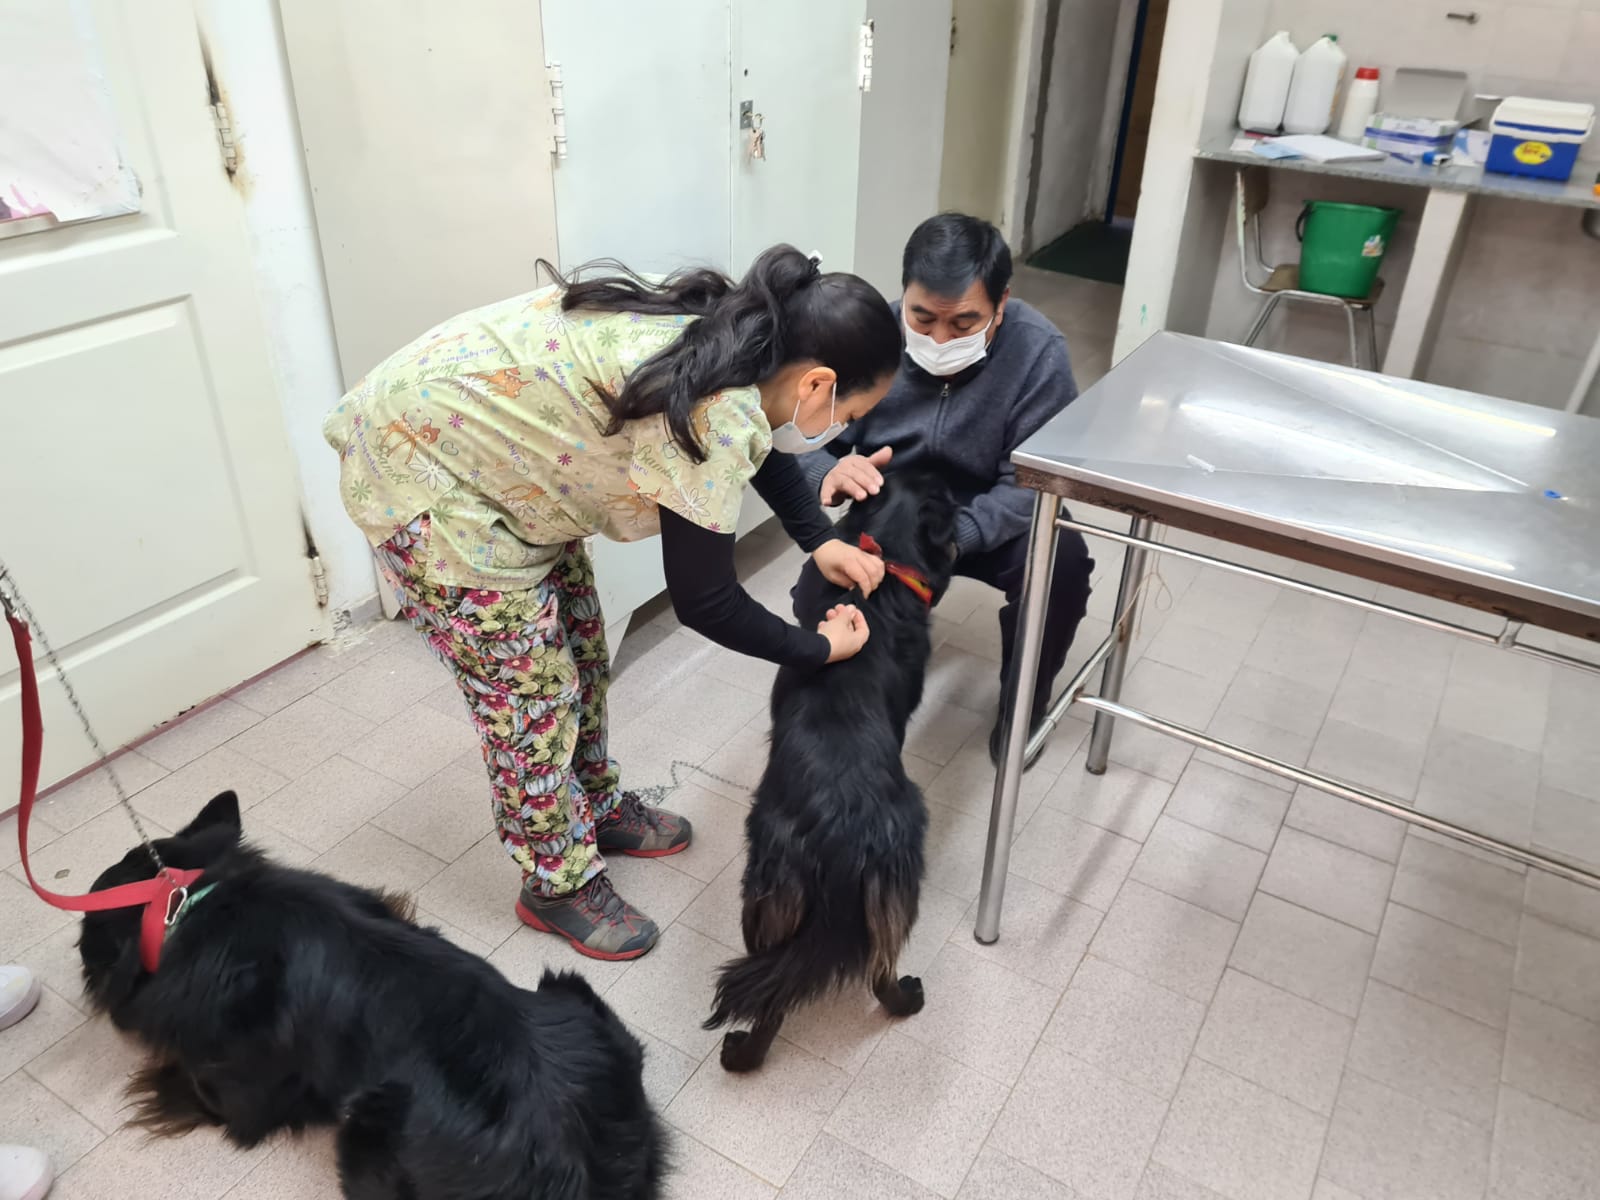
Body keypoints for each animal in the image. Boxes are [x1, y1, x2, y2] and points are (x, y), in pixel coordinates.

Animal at [703, 470, 959, 1072]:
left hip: (769, 897)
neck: (878, 579)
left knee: (784, 996)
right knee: (874, 971)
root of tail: (843, 833)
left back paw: (744, 1055)